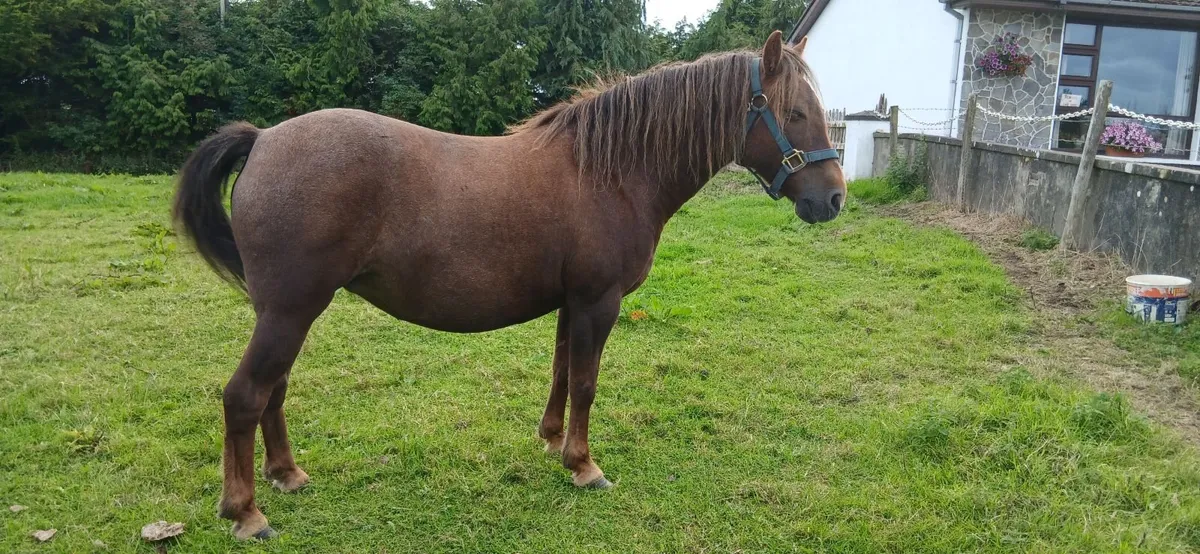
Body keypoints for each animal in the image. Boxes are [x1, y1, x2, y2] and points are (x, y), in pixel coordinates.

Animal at [173, 30, 844, 540]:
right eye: (794, 113)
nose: (833, 199)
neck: (613, 171)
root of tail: (264, 139)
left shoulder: (572, 303)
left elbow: (561, 372)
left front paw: (552, 442)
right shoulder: (598, 303)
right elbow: (586, 382)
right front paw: (584, 465)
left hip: (287, 312)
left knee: (273, 391)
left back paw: (287, 476)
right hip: (290, 311)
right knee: (245, 396)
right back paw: (246, 513)